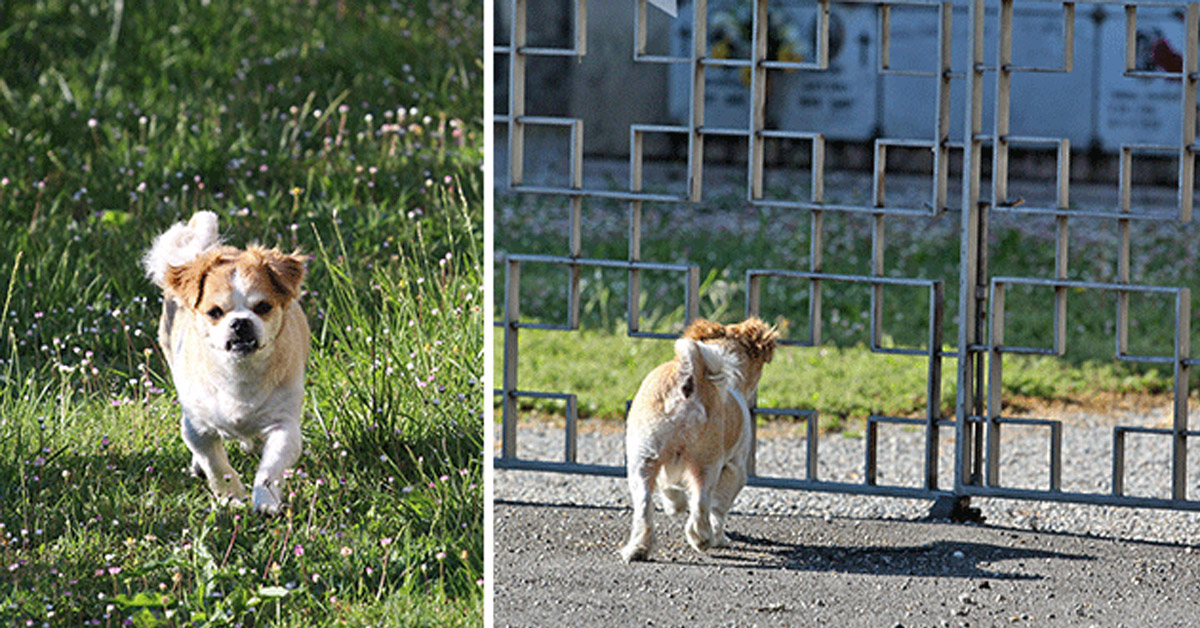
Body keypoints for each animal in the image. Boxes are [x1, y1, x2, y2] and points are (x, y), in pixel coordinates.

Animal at [143, 208, 309, 513]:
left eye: (263, 307)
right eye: (215, 312)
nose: (241, 322)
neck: (239, 374)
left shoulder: (284, 426)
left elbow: (271, 466)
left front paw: (265, 501)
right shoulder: (197, 428)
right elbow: (215, 465)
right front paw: (232, 496)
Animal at [619, 317, 777, 561]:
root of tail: (693, 375)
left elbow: (669, 487)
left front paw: (675, 504)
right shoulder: (735, 468)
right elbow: (718, 507)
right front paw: (719, 537)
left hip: (642, 458)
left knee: (645, 503)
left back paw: (638, 549)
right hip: (707, 461)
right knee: (703, 501)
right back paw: (702, 538)